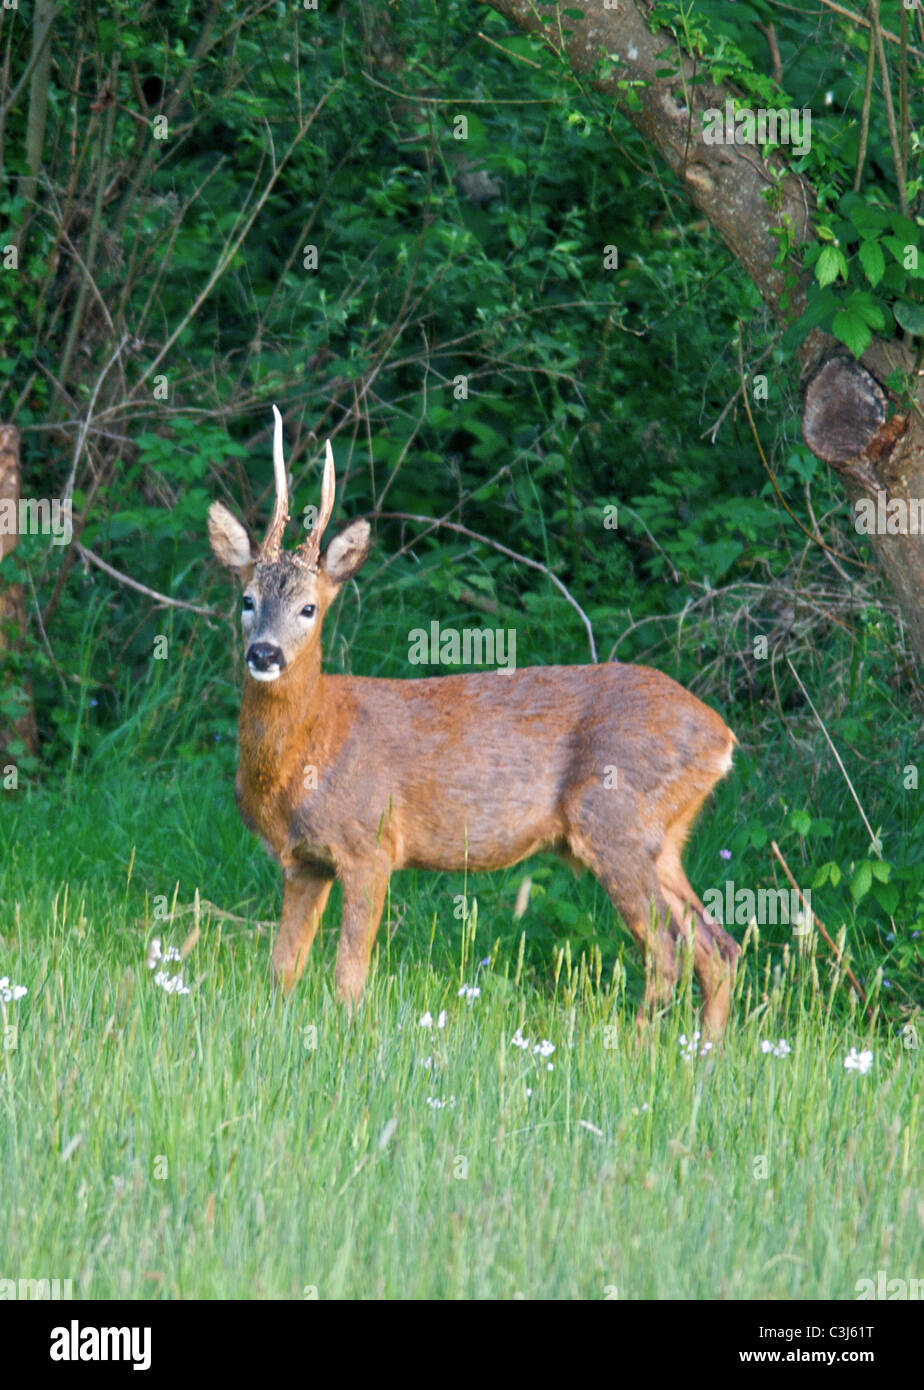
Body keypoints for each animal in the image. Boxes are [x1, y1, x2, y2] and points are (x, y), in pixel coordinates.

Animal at [211, 405, 744, 1039]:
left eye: (308, 608)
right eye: (246, 599)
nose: (265, 653)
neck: (309, 749)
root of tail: (722, 738)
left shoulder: (370, 845)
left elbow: (348, 974)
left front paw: (348, 1035)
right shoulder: (304, 863)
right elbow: (282, 970)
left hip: (615, 820)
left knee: (668, 950)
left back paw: (638, 1048)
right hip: (665, 839)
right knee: (718, 946)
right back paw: (706, 1053)